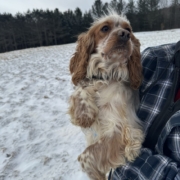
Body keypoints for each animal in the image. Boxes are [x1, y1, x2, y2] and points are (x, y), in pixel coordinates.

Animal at [68, 10, 144, 180]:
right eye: (104, 28)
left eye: (128, 29)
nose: (124, 34)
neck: (107, 76)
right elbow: (80, 88)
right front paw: (85, 114)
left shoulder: (117, 128)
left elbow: (85, 157)